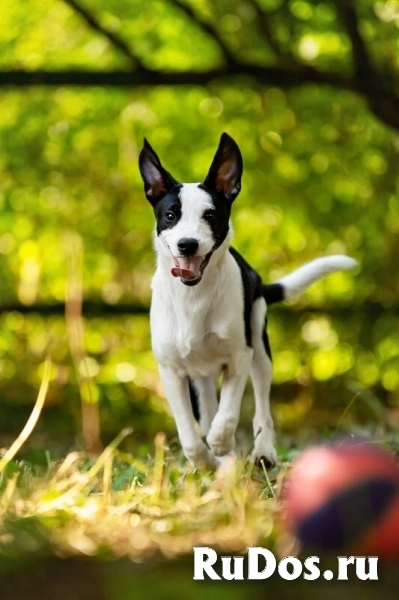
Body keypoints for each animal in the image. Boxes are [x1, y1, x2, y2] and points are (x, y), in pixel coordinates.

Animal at [138, 132, 356, 468]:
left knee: (261, 408)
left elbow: (228, 414)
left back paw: (262, 452)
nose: (188, 244)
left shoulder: (239, 355)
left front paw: (221, 442)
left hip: (260, 347)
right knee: (207, 410)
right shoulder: (171, 370)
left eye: (210, 215)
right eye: (171, 215)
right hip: (200, 377)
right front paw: (204, 460)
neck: (193, 296)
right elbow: (189, 433)